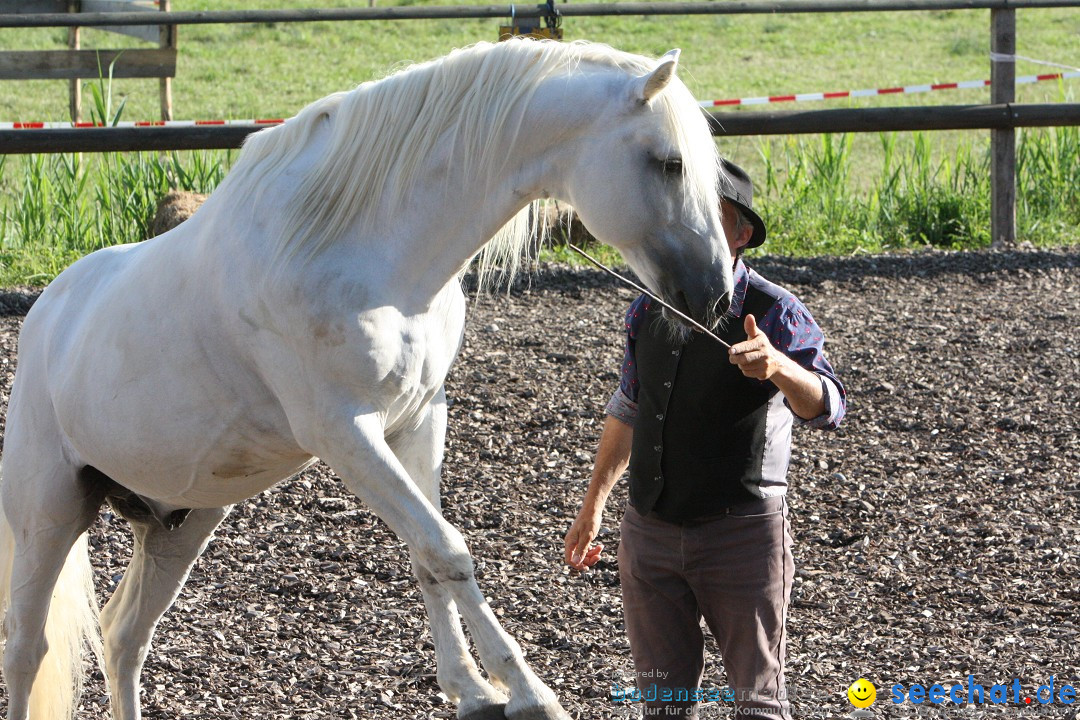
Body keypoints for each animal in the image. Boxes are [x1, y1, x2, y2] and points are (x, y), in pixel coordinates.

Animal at [0, 39, 734, 720]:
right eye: (669, 163)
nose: (716, 295)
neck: (361, 249)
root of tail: (47, 319)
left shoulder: (419, 418)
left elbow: (427, 556)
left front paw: (471, 690)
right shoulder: (344, 434)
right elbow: (447, 547)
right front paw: (526, 692)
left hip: (182, 522)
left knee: (124, 638)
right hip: (49, 516)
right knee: (27, 649)